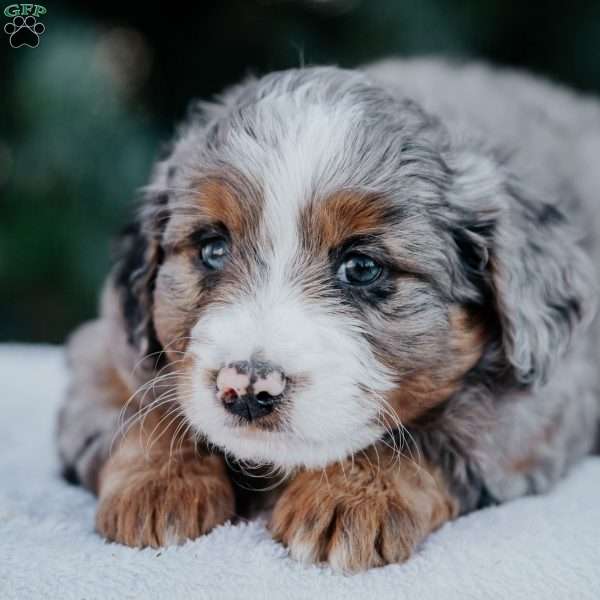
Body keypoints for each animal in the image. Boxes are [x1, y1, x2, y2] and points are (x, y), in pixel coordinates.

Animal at [57, 59, 600, 572]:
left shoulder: (545, 398)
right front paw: (158, 485)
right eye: (212, 248)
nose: (247, 388)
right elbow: (139, 404)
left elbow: (433, 433)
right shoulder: (102, 347)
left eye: (361, 267)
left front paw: (349, 498)